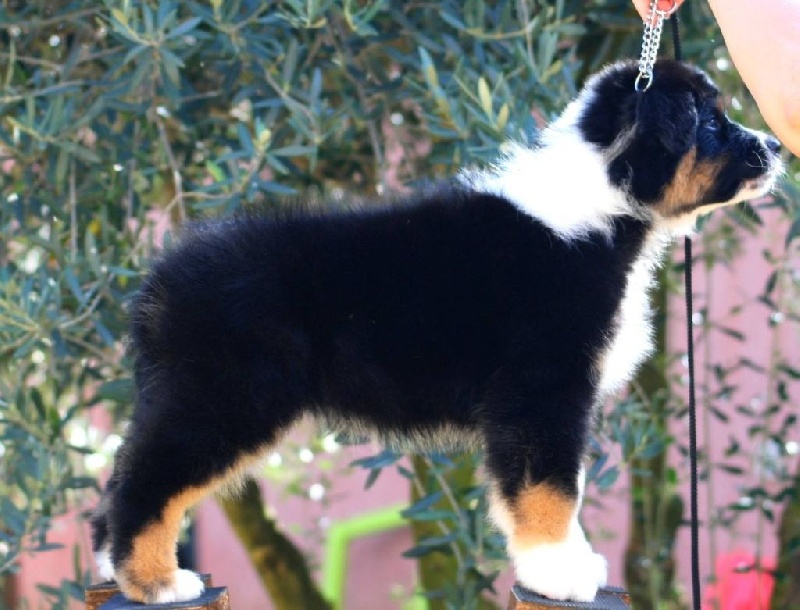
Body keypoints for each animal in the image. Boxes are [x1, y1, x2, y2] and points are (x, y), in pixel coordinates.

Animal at [92, 59, 780, 600]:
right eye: (711, 123)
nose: (774, 147)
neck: (605, 205)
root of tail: (160, 279)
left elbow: (555, 487)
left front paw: (565, 564)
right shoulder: (540, 389)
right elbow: (550, 489)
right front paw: (560, 572)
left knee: (124, 472)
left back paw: (112, 571)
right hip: (226, 396)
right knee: (147, 482)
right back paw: (156, 583)